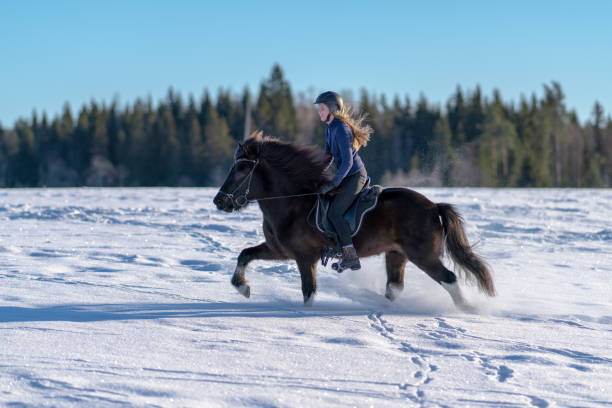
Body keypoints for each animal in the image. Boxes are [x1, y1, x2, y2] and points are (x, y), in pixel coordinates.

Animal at [213, 132, 494, 310]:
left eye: (242, 168)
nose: (219, 201)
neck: (293, 203)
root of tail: (434, 207)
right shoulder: (279, 250)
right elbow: (245, 254)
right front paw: (242, 288)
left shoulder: (305, 257)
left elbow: (308, 291)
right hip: (396, 254)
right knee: (395, 288)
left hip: (423, 255)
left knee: (449, 278)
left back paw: (467, 309)